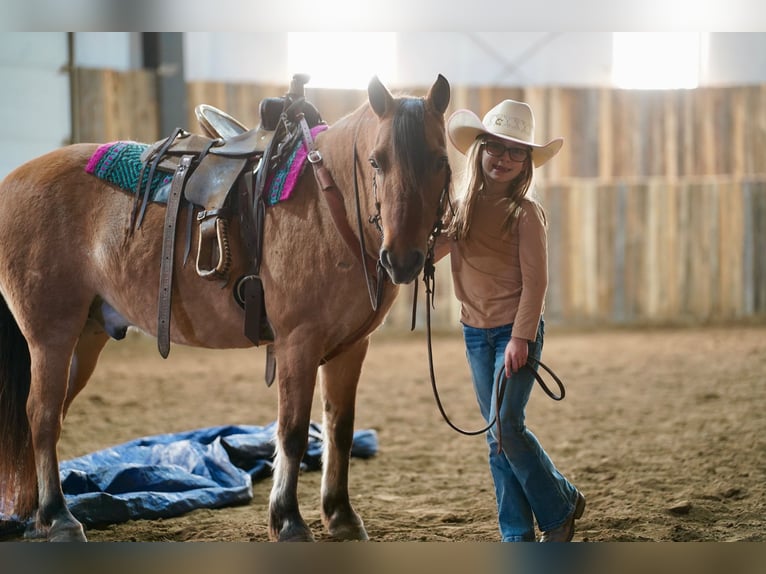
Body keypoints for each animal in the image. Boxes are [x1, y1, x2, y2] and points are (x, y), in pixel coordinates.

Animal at [0, 74, 451, 542]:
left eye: (440, 160)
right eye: (376, 161)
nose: (402, 259)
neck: (330, 208)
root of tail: (13, 180)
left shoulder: (351, 347)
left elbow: (339, 429)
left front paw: (340, 515)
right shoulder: (298, 342)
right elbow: (292, 432)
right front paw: (288, 520)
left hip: (84, 341)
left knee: (50, 418)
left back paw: (36, 517)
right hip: (51, 336)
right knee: (42, 417)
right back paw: (58, 516)